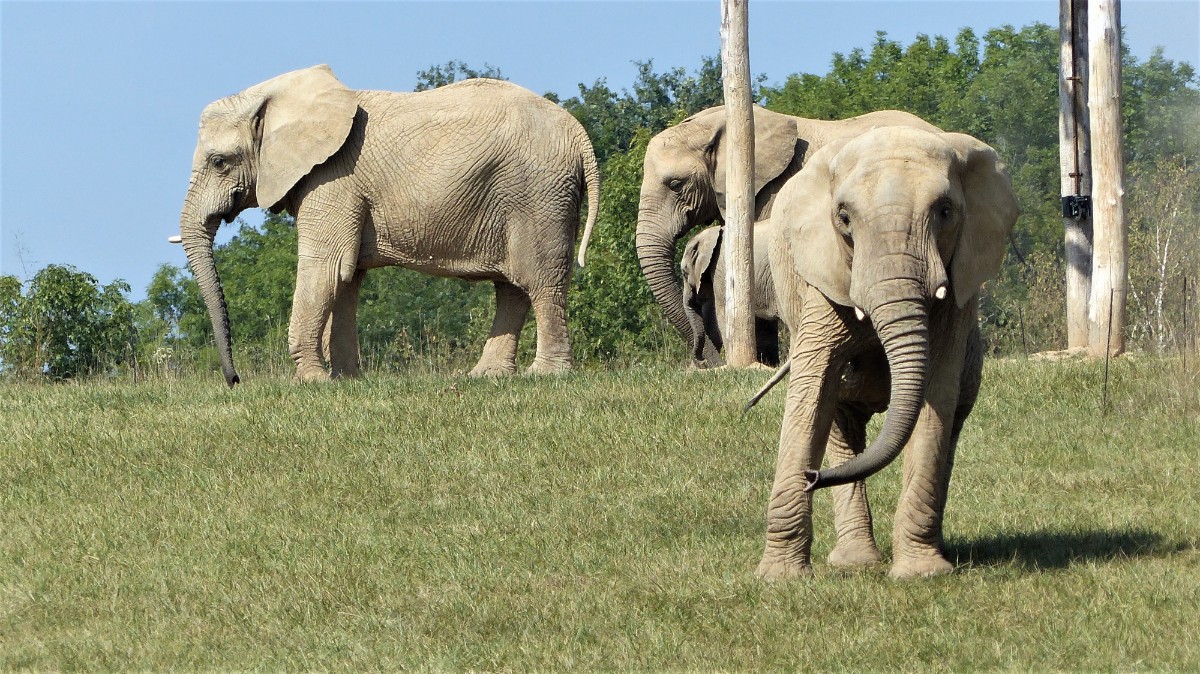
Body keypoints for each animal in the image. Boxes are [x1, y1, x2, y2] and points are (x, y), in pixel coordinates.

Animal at [174, 65, 599, 385]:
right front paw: (346, 381)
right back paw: (486, 376)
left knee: (539, 280)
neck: (276, 97)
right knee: (512, 286)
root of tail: (580, 135)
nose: (235, 381)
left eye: (220, 162)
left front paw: (311, 383)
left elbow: (324, 268)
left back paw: (545, 375)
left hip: (538, 193)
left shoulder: (333, 178)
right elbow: (347, 277)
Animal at [755, 125, 1018, 580]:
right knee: (839, 420)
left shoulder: (958, 296)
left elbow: (936, 395)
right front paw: (779, 579)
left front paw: (922, 574)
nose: (812, 476)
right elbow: (811, 389)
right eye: (843, 218)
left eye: (945, 211)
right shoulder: (824, 278)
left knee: (951, 426)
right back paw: (855, 563)